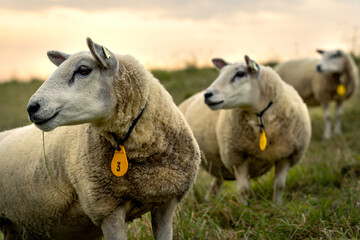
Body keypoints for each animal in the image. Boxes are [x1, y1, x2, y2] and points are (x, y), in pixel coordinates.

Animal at [179, 55, 310, 204]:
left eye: (240, 74)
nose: (207, 95)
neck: (261, 118)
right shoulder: (237, 156)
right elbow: (243, 190)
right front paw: (244, 207)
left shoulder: (287, 156)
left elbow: (279, 186)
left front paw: (277, 205)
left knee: (216, 183)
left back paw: (208, 202)